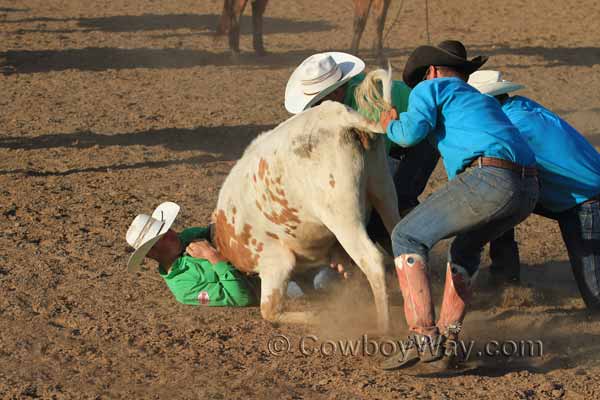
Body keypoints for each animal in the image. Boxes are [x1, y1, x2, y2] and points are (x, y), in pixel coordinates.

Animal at [212, 69, 398, 332]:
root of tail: (339, 118)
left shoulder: (275, 262)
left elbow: (270, 311)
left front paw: (321, 316)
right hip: (384, 190)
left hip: (343, 217)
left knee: (372, 260)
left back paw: (382, 327)